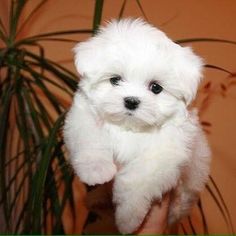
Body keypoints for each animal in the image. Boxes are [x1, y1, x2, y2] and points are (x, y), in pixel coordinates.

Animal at [63, 18, 211, 234]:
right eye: (115, 80)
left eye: (156, 88)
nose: (131, 101)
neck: (130, 128)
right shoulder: (82, 117)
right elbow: (90, 139)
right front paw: (96, 169)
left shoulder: (167, 153)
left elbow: (136, 181)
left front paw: (128, 218)